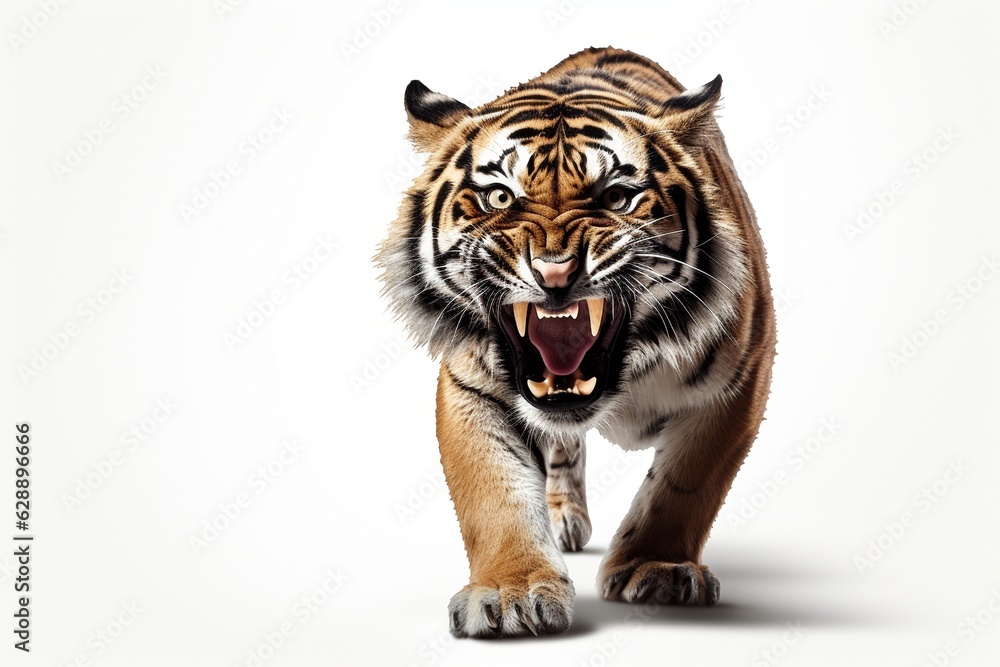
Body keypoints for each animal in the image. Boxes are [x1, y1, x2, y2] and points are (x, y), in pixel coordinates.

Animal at [378, 44, 776, 640]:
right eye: (500, 196)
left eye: (616, 197)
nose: (555, 271)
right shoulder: (471, 386)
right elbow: (494, 491)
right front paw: (512, 592)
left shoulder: (740, 379)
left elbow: (684, 485)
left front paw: (658, 568)